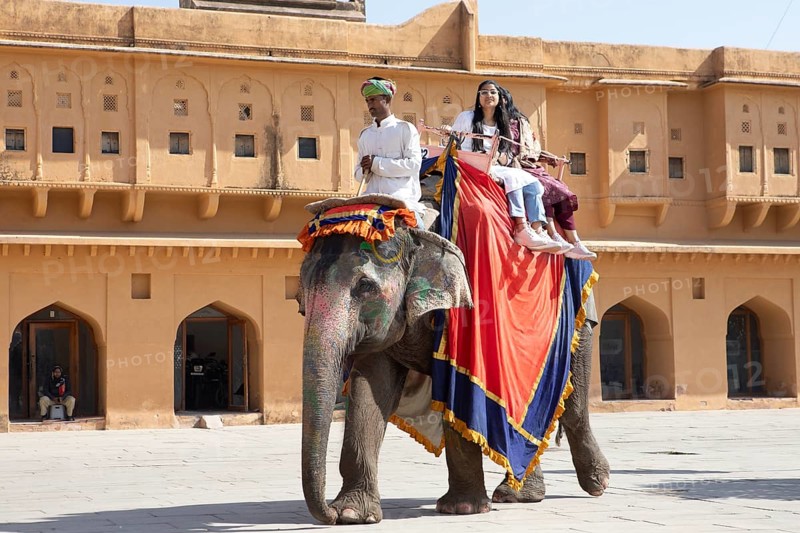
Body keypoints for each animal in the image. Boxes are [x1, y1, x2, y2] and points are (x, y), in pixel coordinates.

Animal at [297, 201, 610, 525]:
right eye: (301, 290)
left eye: (365, 286)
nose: (329, 514)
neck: (416, 233)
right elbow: (369, 390)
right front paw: (352, 514)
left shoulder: (463, 314)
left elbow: (457, 395)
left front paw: (462, 509)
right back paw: (517, 494)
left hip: (579, 320)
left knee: (571, 405)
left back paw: (597, 482)